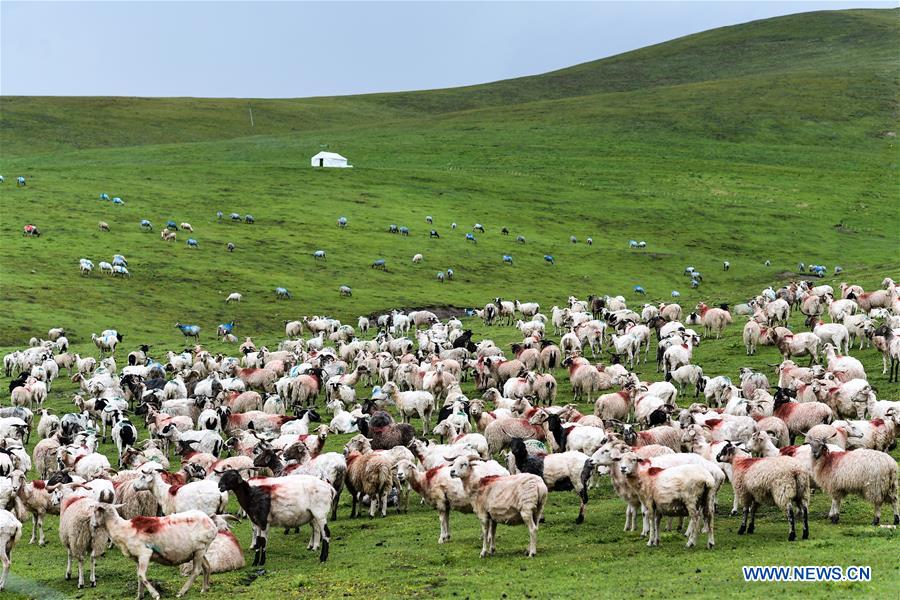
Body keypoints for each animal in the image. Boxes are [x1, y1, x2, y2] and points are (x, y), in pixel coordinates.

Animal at [90, 502, 218, 600]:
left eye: (95, 511)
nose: (92, 525)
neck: (122, 529)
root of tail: (210, 522)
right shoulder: (137, 558)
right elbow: (139, 577)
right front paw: (139, 596)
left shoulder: (144, 553)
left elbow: (141, 575)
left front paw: (155, 594)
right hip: (200, 550)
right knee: (207, 566)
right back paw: (204, 589)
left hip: (200, 549)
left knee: (196, 571)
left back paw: (182, 592)